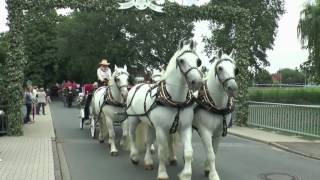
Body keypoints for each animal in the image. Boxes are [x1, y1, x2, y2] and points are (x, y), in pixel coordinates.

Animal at [125, 38, 202, 180]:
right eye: (181, 60)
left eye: (198, 61)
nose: (197, 82)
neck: (176, 101)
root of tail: (136, 86)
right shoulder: (161, 129)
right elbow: (162, 151)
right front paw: (162, 174)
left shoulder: (185, 128)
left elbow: (188, 152)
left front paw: (186, 174)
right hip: (133, 119)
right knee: (132, 136)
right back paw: (134, 157)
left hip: (150, 124)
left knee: (149, 140)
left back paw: (148, 161)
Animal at [192, 50, 238, 180]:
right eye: (220, 68)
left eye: (235, 69)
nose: (233, 88)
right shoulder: (205, 131)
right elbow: (211, 153)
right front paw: (213, 175)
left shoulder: (217, 133)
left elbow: (214, 152)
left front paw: (207, 168)